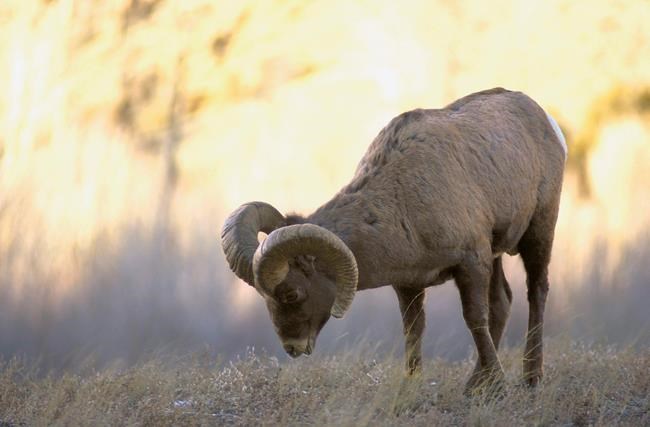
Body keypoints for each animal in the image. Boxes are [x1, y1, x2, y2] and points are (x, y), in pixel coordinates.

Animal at [221, 87, 566, 392]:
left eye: (292, 293)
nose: (293, 348)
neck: (402, 198)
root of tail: (545, 119)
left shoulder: (471, 263)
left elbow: (475, 319)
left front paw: (499, 387)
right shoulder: (409, 284)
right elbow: (413, 330)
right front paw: (411, 387)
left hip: (539, 231)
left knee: (536, 291)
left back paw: (530, 379)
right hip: (498, 255)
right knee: (504, 301)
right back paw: (475, 385)